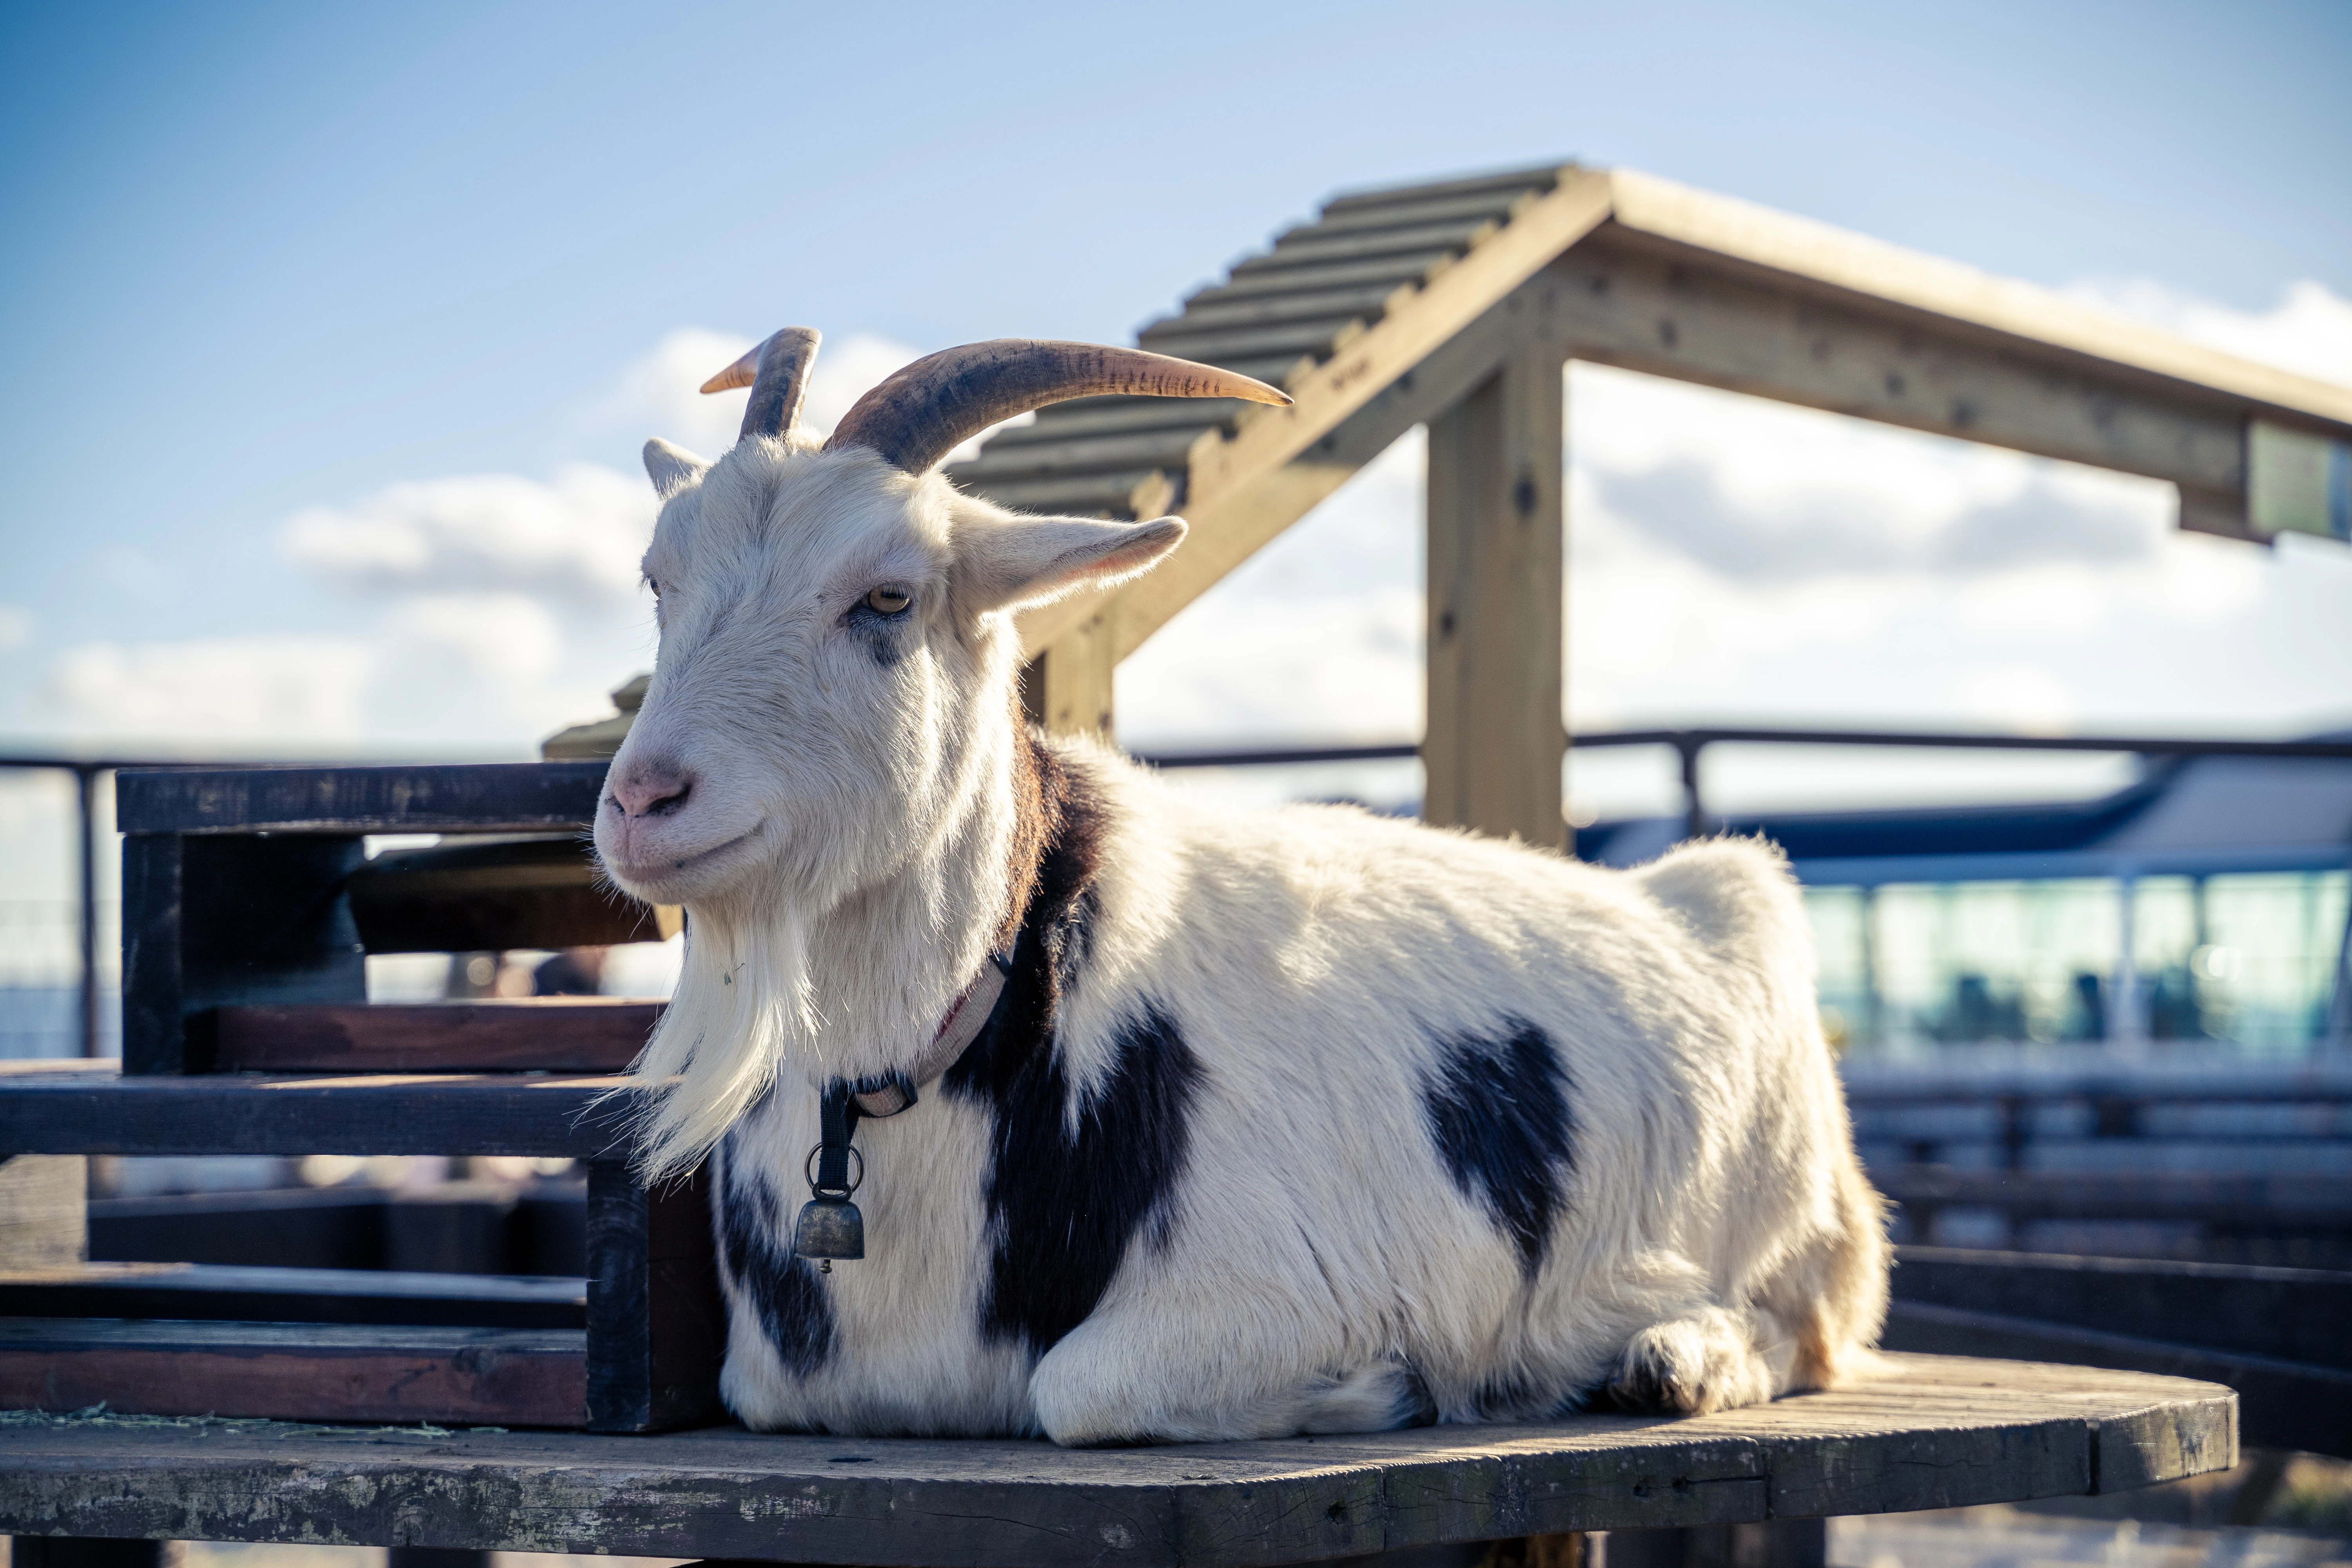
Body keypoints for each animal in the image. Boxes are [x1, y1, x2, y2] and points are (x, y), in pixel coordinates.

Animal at [593, 327, 1889, 1444]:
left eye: (888, 596)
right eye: (657, 581)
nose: (645, 801)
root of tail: (1706, 896)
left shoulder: (1277, 1284)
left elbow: (1078, 1385)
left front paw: (1377, 1387)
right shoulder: (781, 1383)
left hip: (1805, 1222)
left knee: (1812, 1324)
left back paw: (1675, 1355)